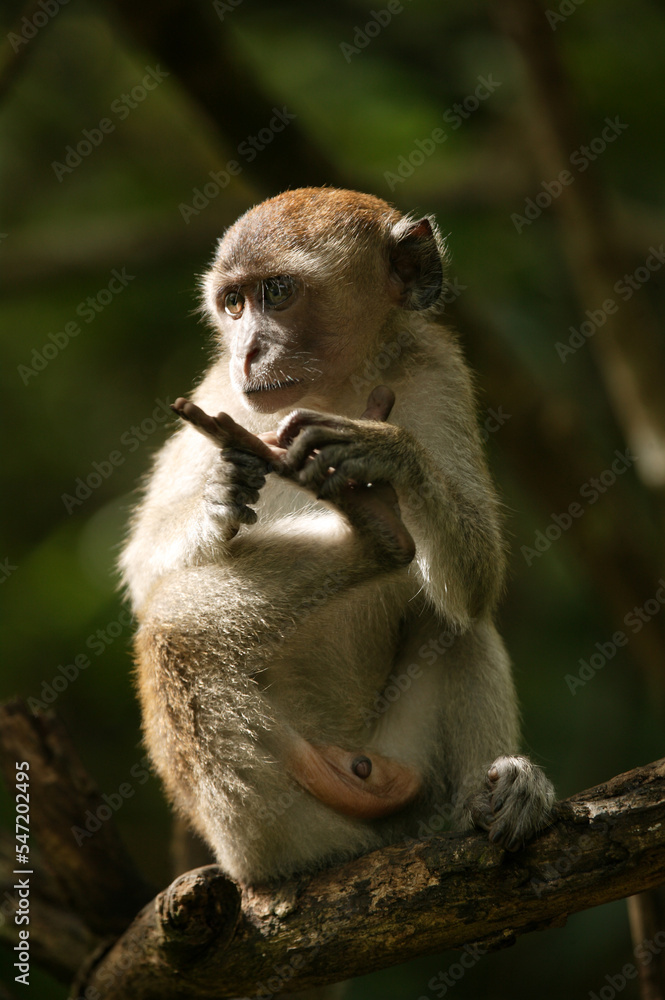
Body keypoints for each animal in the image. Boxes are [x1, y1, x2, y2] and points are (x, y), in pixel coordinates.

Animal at [119, 187, 555, 886]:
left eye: (276, 292)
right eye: (233, 303)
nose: (248, 352)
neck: (338, 388)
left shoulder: (440, 374)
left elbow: (479, 577)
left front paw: (385, 452)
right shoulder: (218, 395)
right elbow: (140, 573)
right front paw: (220, 491)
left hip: (398, 766)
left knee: (456, 618)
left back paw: (496, 795)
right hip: (294, 805)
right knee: (173, 630)